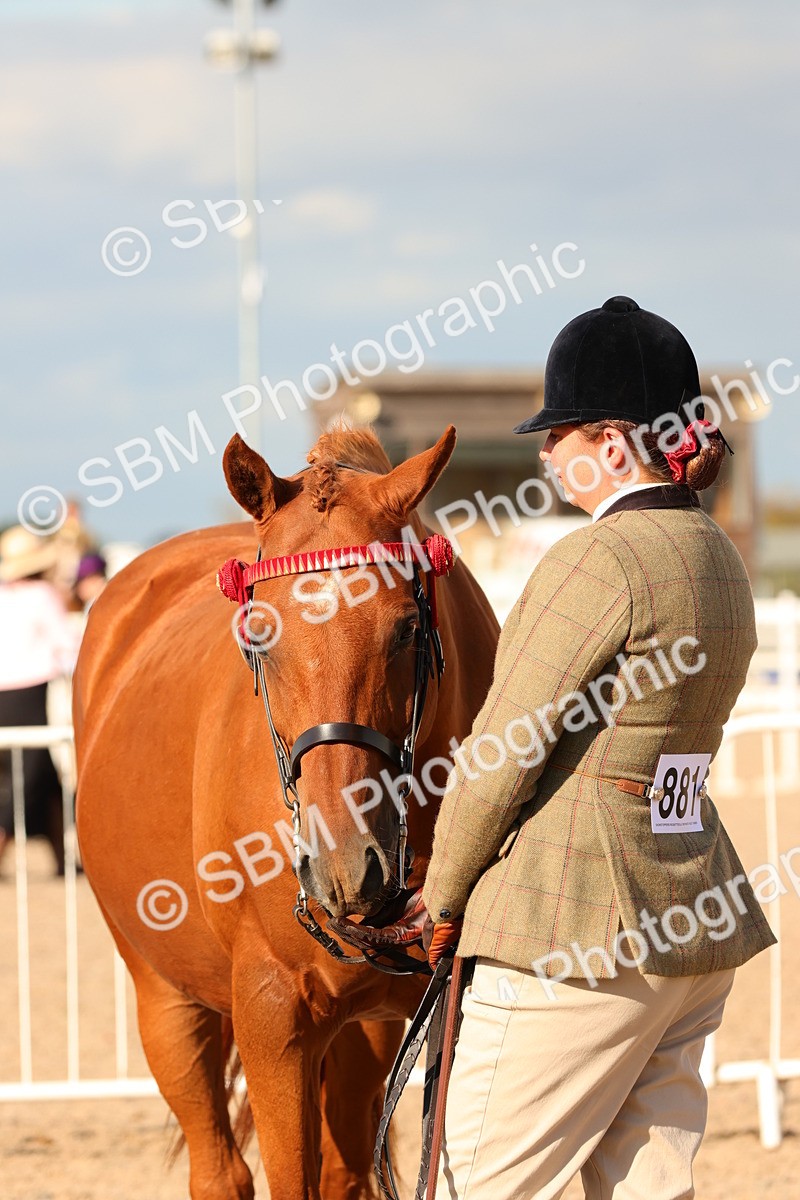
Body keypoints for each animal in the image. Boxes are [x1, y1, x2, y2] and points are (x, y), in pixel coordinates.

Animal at [74, 424, 500, 1200]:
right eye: (260, 634)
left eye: (405, 629)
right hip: (166, 1001)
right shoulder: (275, 1020)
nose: (346, 867)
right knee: (218, 1168)